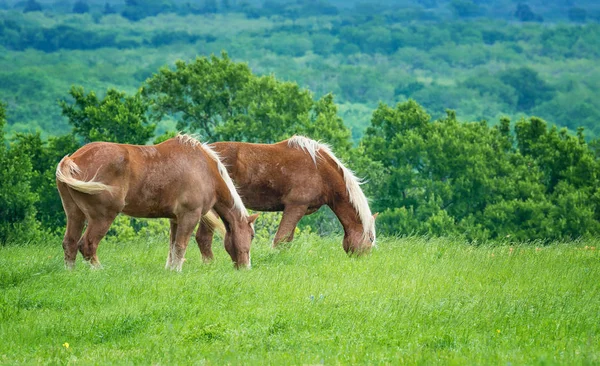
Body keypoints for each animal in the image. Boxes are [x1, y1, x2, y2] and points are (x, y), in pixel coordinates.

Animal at [56, 133, 260, 270]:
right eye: (251, 236)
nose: (246, 267)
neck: (204, 169)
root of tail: (73, 159)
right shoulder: (189, 216)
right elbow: (180, 246)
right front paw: (177, 272)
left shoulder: (175, 219)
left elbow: (172, 248)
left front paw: (170, 270)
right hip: (102, 217)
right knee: (87, 245)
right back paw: (99, 271)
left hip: (75, 214)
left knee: (70, 244)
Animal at [197, 134, 376, 260]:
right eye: (371, 238)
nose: (365, 260)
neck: (320, 170)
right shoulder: (295, 206)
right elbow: (280, 240)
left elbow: (286, 241)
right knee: (203, 238)